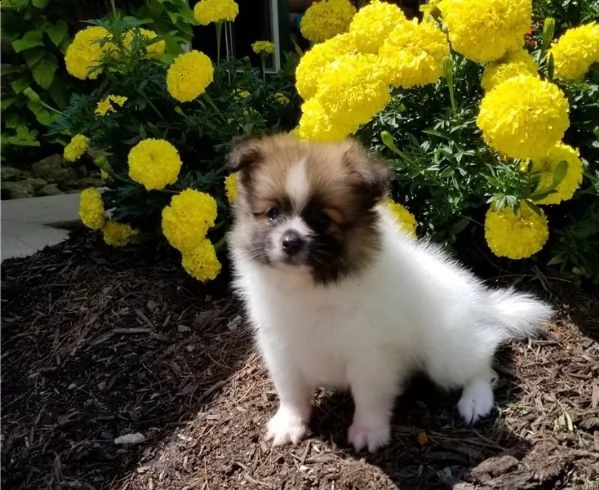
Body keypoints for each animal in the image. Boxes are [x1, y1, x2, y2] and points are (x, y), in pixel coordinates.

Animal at [226, 133, 552, 452]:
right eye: (273, 213)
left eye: (322, 219)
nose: (290, 241)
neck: (308, 287)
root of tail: (478, 302)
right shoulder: (280, 347)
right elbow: (290, 390)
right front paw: (290, 422)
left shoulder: (371, 354)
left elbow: (368, 397)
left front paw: (369, 431)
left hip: (445, 354)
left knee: (483, 362)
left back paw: (475, 400)